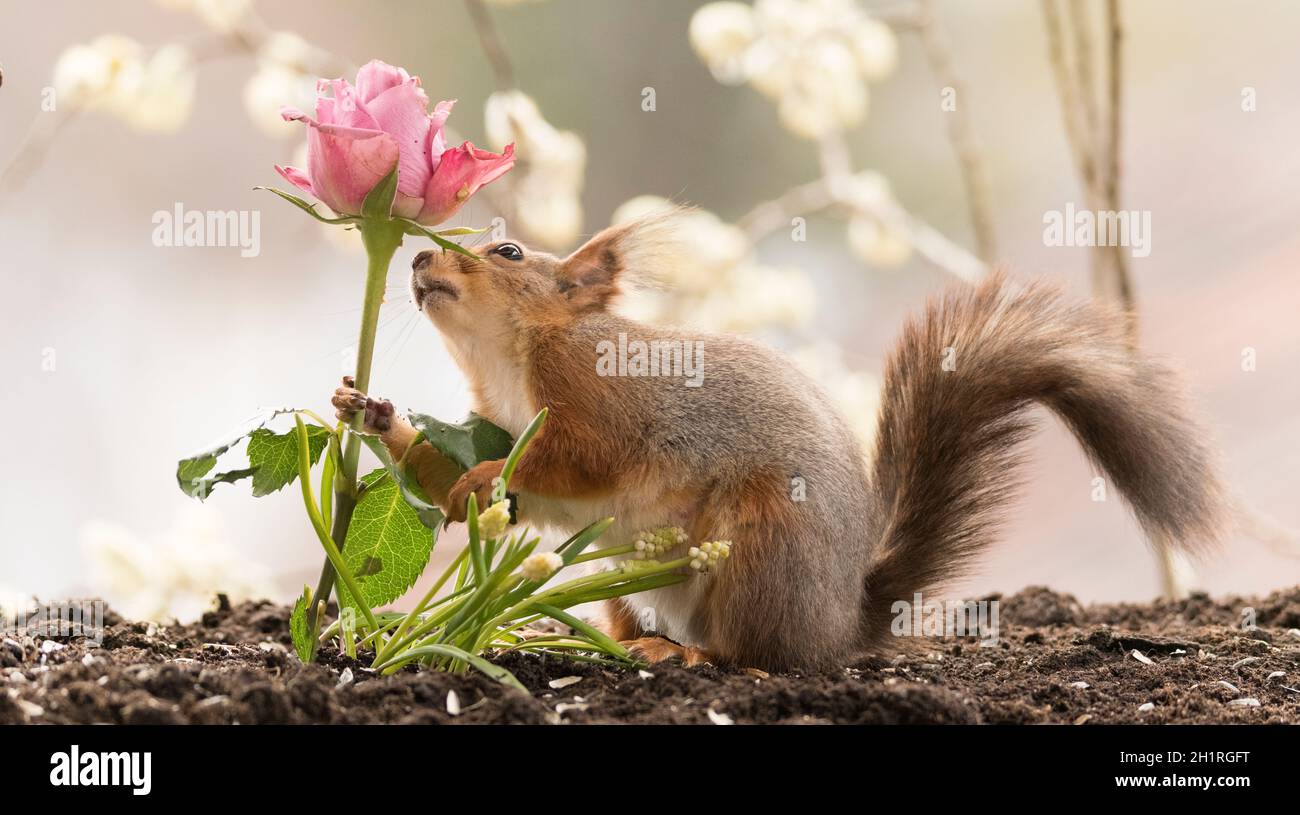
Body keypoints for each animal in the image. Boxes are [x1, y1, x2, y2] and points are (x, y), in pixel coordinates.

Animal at [330, 213, 1222, 670]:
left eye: (508, 251)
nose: (417, 257)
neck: (509, 359)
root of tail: (837, 623)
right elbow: (466, 476)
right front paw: (370, 412)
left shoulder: (600, 397)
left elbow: (576, 459)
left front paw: (476, 478)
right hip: (631, 577)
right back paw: (629, 642)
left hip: (763, 543)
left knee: (754, 654)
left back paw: (703, 660)